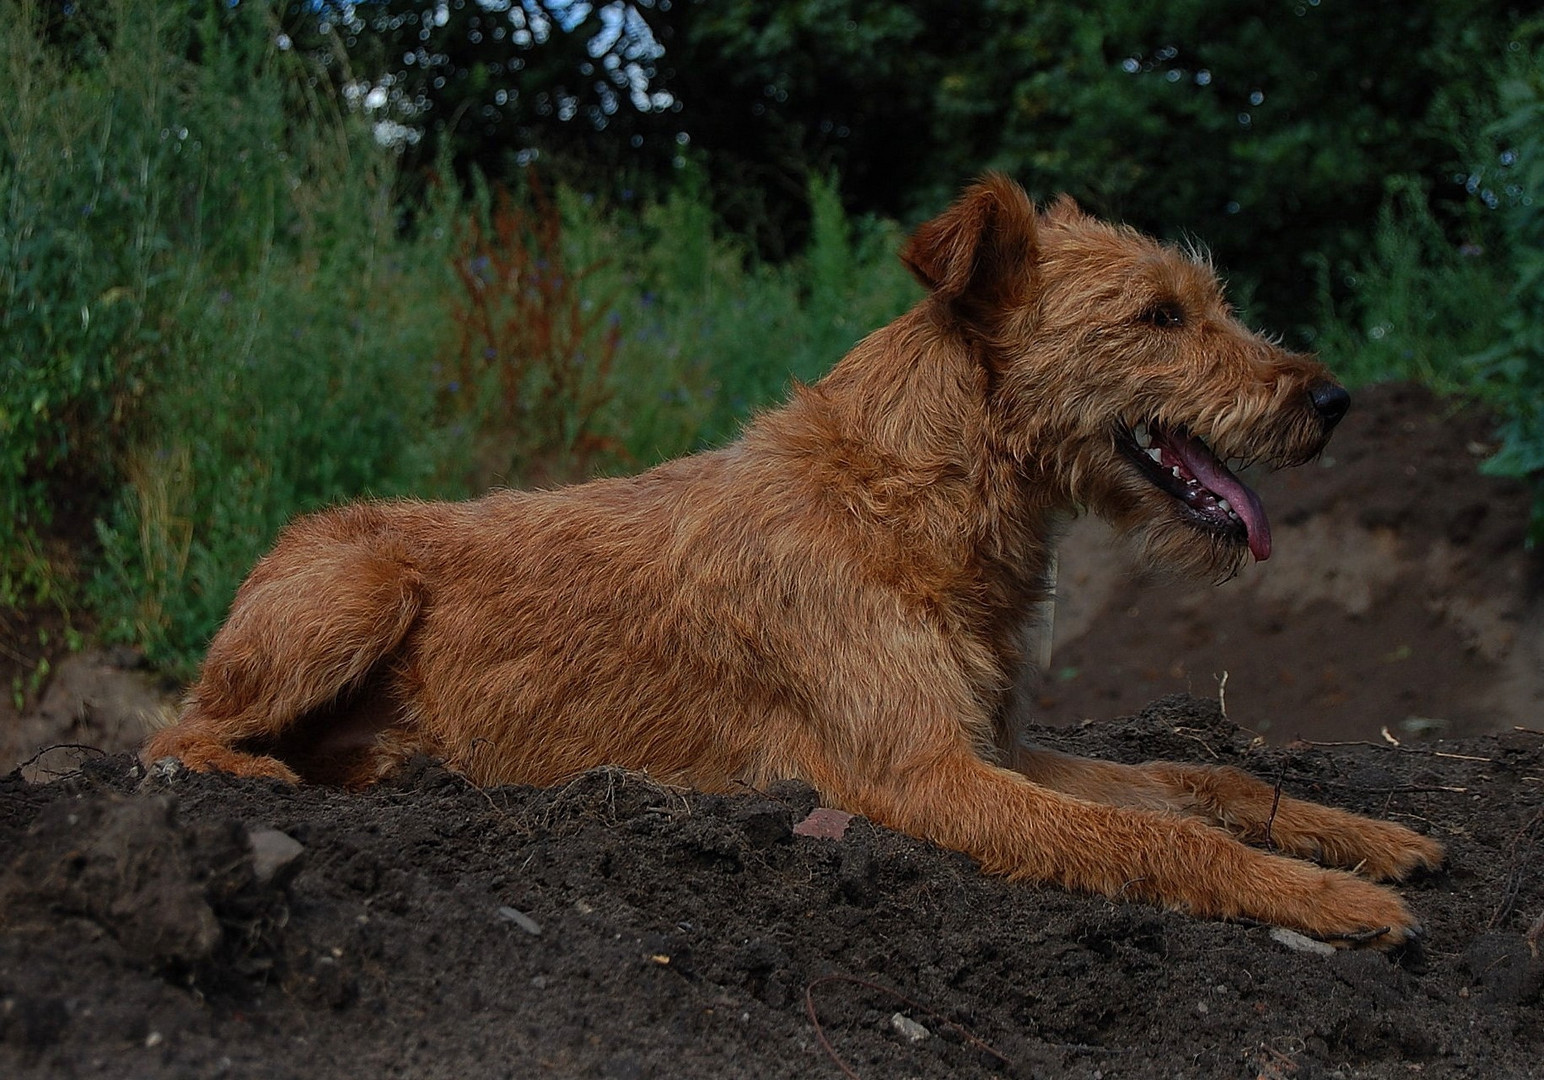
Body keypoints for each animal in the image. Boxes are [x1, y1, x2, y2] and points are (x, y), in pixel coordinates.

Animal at [147, 175, 1445, 945]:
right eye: (1159, 318)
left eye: (1205, 302)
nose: (1331, 401)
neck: (909, 492)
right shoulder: (924, 774)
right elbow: (1159, 838)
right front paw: (1332, 899)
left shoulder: (992, 747)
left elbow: (1202, 780)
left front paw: (1362, 838)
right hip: (351, 593)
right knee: (172, 731)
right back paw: (275, 774)